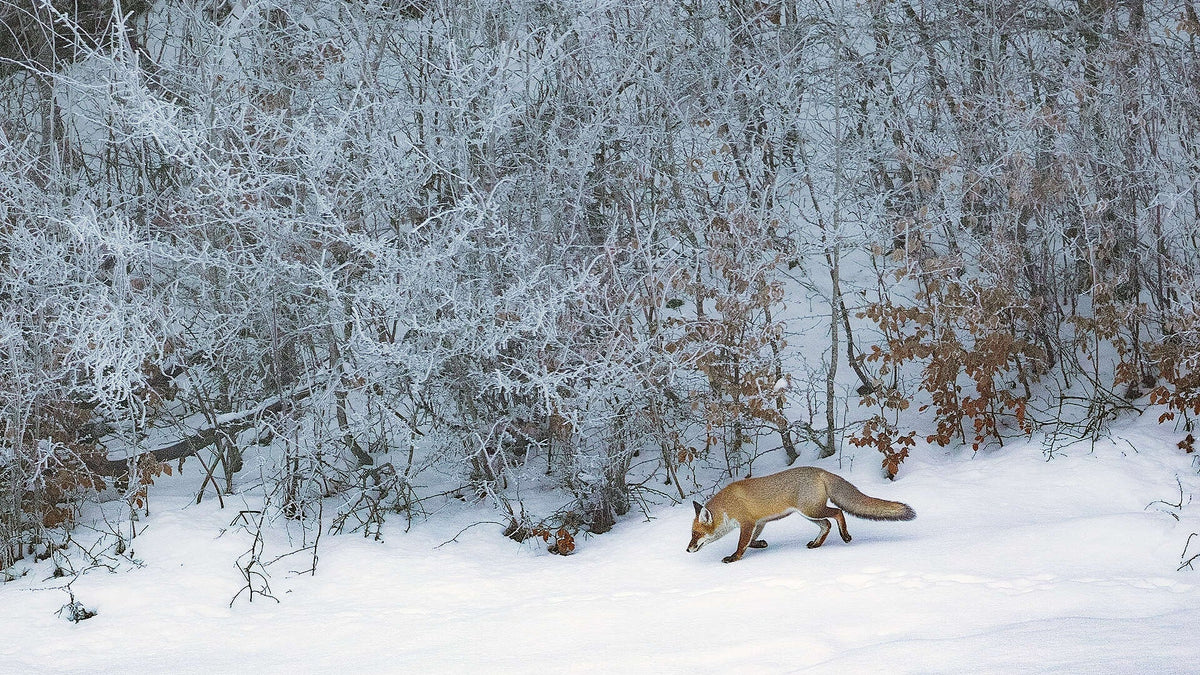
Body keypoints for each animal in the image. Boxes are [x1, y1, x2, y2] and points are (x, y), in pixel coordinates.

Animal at [687, 466, 916, 563]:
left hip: (811, 510)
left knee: (838, 513)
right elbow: (751, 541)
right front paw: (761, 544)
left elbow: (742, 544)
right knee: (826, 525)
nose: (687, 549)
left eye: (695, 534)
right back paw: (816, 544)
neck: (729, 505)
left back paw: (845, 536)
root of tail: (820, 470)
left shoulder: (747, 522)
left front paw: (733, 558)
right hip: (809, 514)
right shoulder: (759, 522)